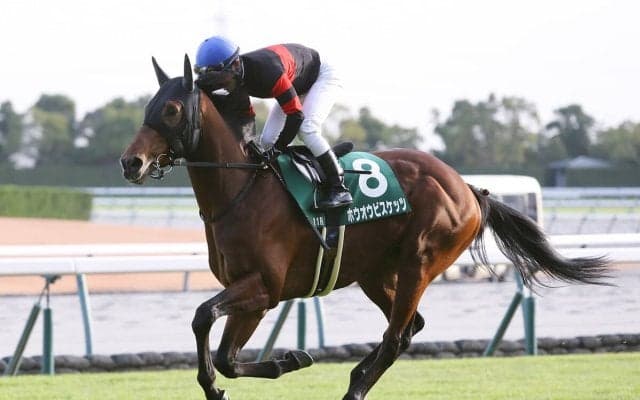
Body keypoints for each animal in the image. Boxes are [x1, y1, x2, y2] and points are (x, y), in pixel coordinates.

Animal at [120, 55, 610, 400]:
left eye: (172, 109)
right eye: (149, 107)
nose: (131, 162)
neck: (242, 188)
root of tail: (469, 189)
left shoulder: (265, 287)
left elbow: (205, 318)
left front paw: (281, 362)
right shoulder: (250, 293)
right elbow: (225, 355)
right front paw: (281, 362)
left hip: (420, 262)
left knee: (396, 337)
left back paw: (355, 387)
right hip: (376, 272)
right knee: (409, 328)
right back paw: (357, 373)